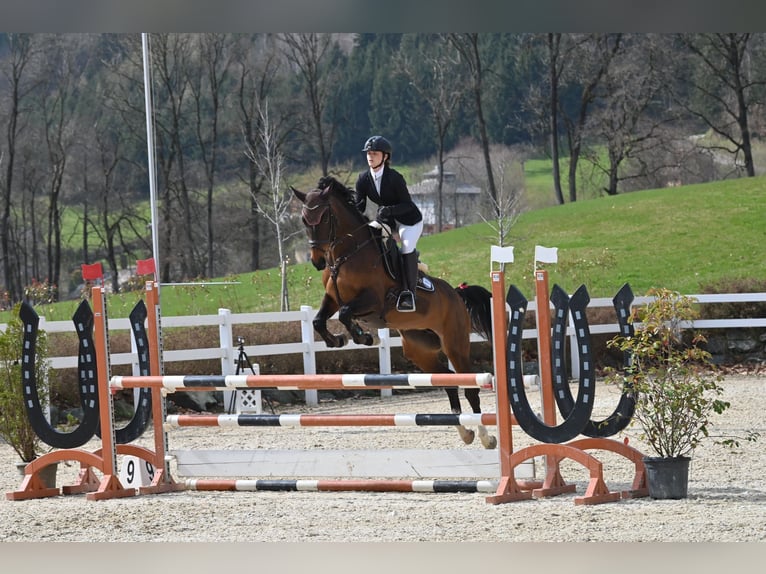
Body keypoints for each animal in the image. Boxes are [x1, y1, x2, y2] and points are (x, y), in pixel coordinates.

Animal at [292, 177, 498, 450]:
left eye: (324, 217)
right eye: (305, 220)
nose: (317, 262)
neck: (346, 255)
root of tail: (456, 293)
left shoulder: (373, 300)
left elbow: (346, 314)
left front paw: (363, 337)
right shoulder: (333, 299)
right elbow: (318, 320)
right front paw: (337, 340)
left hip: (455, 343)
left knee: (470, 385)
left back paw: (486, 437)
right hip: (418, 348)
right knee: (448, 380)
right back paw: (465, 432)